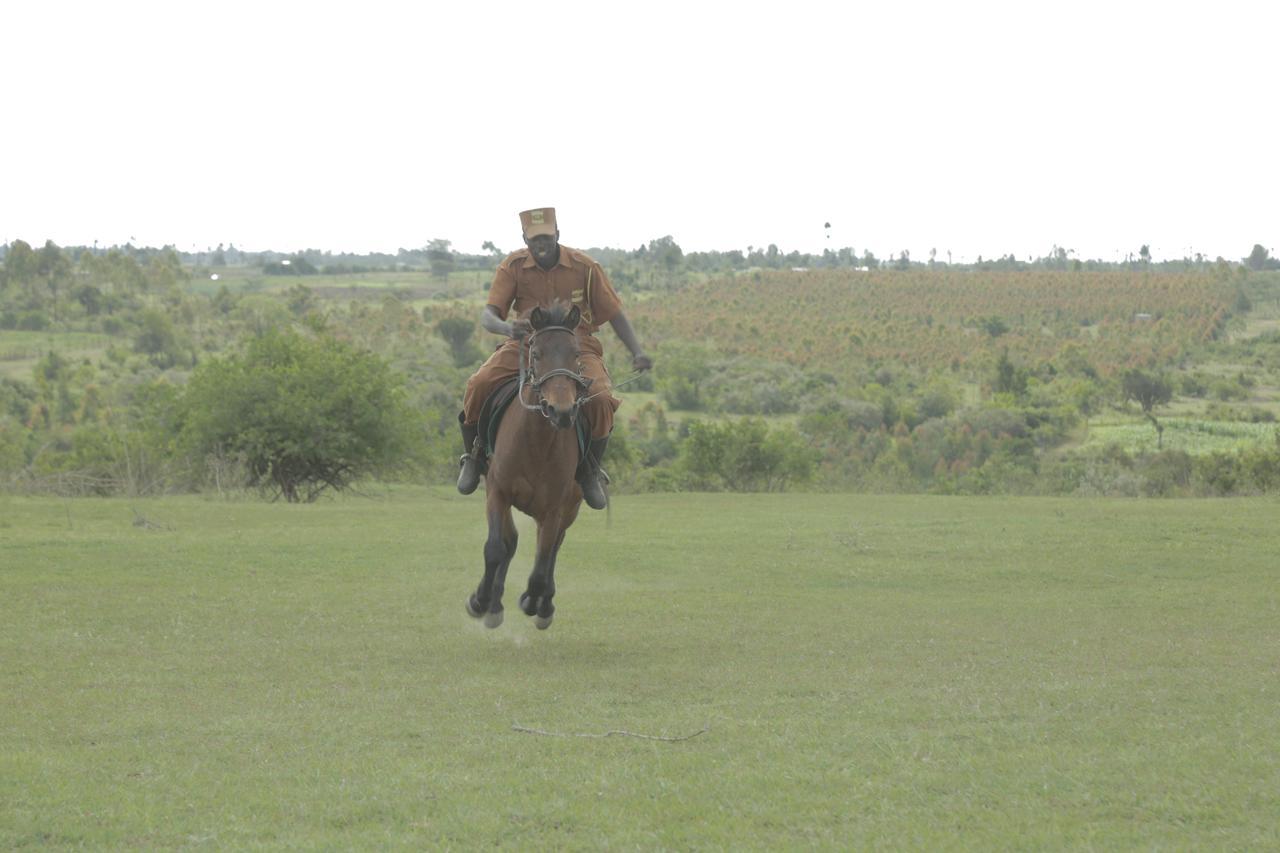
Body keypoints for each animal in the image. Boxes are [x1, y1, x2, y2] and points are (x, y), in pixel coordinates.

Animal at [465, 302, 593, 627]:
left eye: (576, 354)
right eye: (536, 353)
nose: (561, 410)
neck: (537, 442)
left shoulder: (555, 509)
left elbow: (541, 565)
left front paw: (534, 602)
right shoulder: (497, 491)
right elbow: (496, 547)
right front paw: (480, 601)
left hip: (570, 507)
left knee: (553, 549)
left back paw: (542, 604)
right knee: (510, 541)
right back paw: (494, 604)